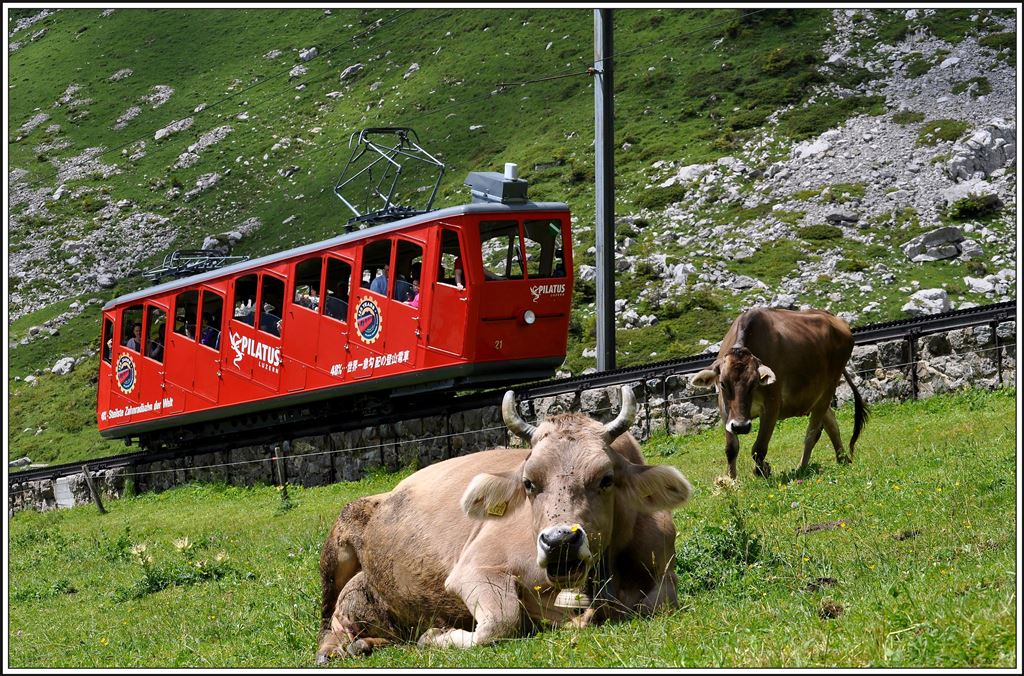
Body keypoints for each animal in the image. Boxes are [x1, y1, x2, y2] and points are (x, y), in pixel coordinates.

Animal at [315, 385, 692, 659]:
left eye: (606, 479)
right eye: (529, 483)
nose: (559, 541)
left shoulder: (663, 568)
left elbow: (657, 603)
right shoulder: (474, 568)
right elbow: (501, 622)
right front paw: (436, 636)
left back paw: (367, 644)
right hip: (336, 553)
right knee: (326, 621)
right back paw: (336, 650)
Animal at [692, 307, 868, 481]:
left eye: (754, 383)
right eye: (722, 383)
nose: (741, 427)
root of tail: (833, 317)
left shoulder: (772, 405)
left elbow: (759, 448)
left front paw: (763, 470)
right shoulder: (725, 410)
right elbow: (731, 448)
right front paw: (731, 480)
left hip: (828, 388)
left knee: (812, 433)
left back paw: (801, 468)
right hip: (815, 395)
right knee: (831, 424)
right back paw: (842, 459)